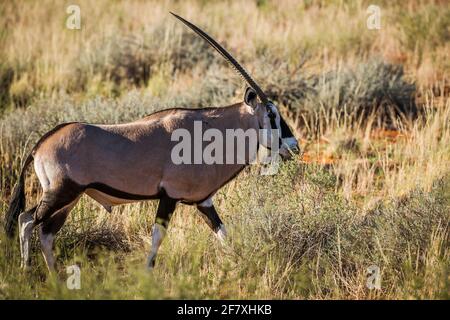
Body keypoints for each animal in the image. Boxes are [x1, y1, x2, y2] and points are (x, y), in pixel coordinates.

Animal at [4, 13, 298, 272]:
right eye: (271, 114)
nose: (294, 146)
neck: (210, 130)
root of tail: (40, 145)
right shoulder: (169, 196)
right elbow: (158, 236)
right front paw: (148, 272)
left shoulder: (203, 202)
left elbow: (223, 233)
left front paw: (239, 262)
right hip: (61, 192)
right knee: (27, 220)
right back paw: (26, 270)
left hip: (69, 199)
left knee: (45, 232)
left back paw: (54, 277)